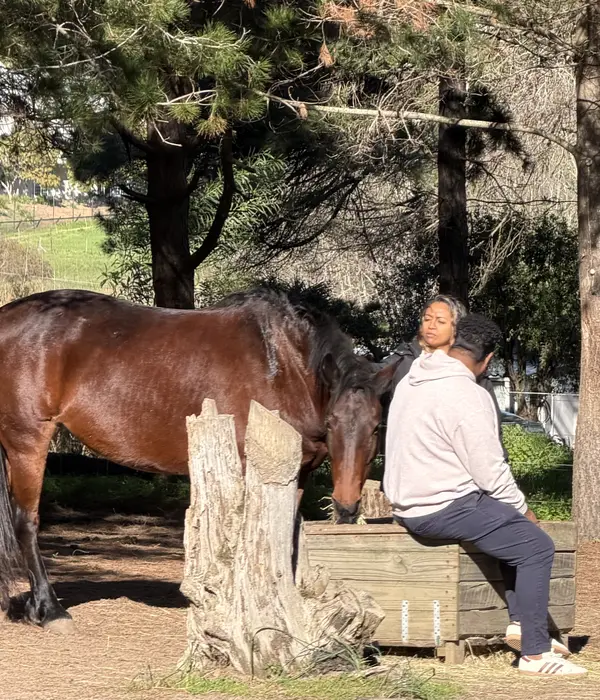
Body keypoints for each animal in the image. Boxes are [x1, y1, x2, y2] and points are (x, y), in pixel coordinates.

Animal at [0, 287, 397, 632]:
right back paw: (50, 609)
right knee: (26, 522)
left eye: (377, 426)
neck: (282, 366)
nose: (346, 506)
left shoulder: (295, 475)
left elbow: (285, 536)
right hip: (27, 441)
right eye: (332, 423)